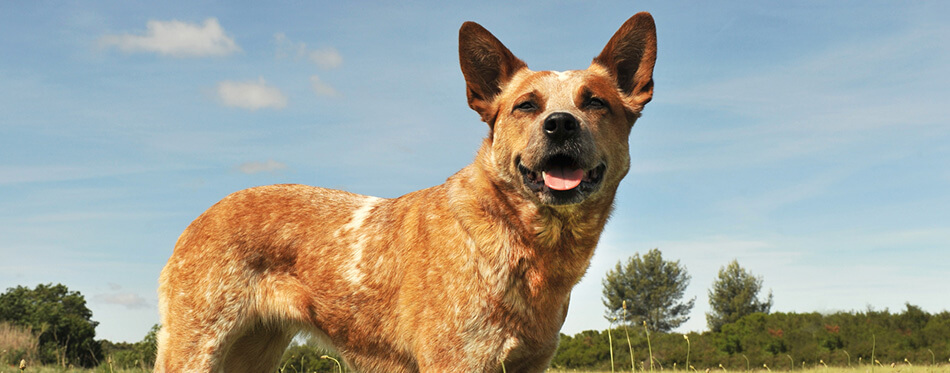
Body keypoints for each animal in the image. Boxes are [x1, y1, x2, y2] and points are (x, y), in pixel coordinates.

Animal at [160, 12, 660, 372]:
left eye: (594, 102)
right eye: (526, 106)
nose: (559, 124)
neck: (526, 239)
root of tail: (200, 218)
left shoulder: (531, 363)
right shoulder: (456, 361)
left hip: (254, 349)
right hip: (196, 345)